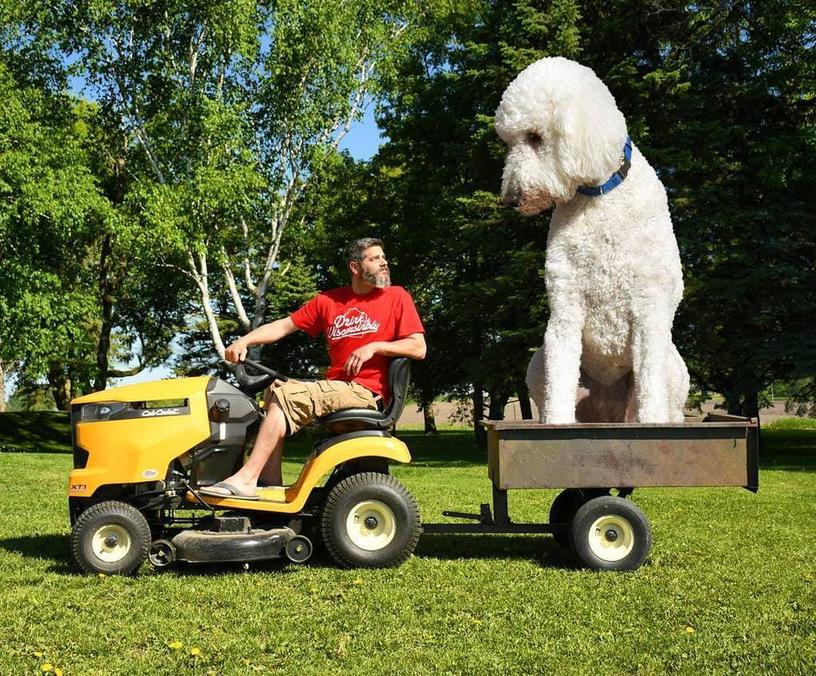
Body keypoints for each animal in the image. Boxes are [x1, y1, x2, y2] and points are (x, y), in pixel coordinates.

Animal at [498, 58, 688, 422]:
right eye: (508, 142)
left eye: (535, 137)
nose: (511, 199)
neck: (598, 199)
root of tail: (606, 411)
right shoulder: (565, 305)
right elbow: (560, 384)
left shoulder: (649, 308)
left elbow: (651, 390)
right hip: (539, 363)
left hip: (674, 366)